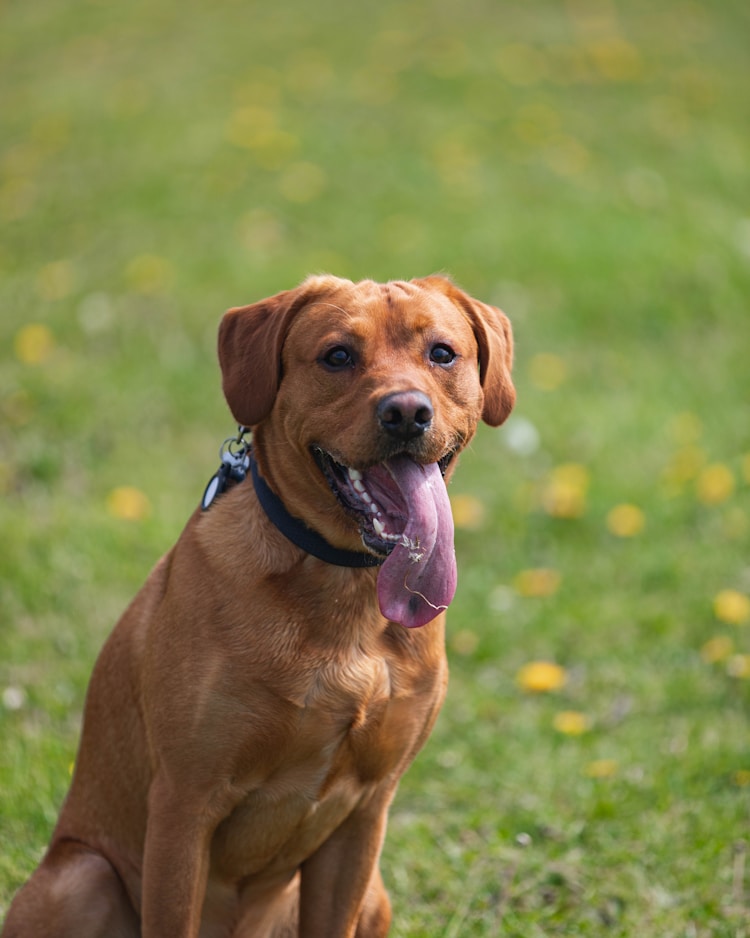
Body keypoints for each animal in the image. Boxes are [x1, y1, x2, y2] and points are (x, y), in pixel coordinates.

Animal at [0, 274, 516, 932]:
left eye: (443, 354)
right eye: (338, 356)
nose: (406, 412)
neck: (342, 592)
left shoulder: (365, 814)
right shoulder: (184, 803)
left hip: (376, 894)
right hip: (79, 878)